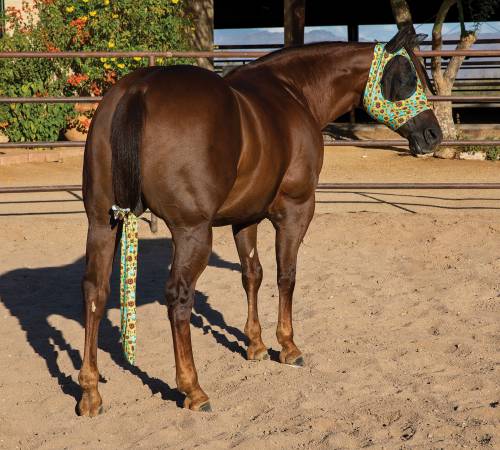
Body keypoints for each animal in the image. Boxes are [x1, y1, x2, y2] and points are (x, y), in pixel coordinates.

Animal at [77, 26, 442, 416]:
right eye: (406, 78)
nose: (433, 134)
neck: (294, 92)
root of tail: (139, 89)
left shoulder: (246, 217)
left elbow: (252, 275)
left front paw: (256, 345)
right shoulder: (297, 210)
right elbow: (286, 275)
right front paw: (289, 347)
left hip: (101, 223)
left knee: (95, 292)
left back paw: (90, 392)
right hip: (192, 232)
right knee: (178, 298)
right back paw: (193, 389)